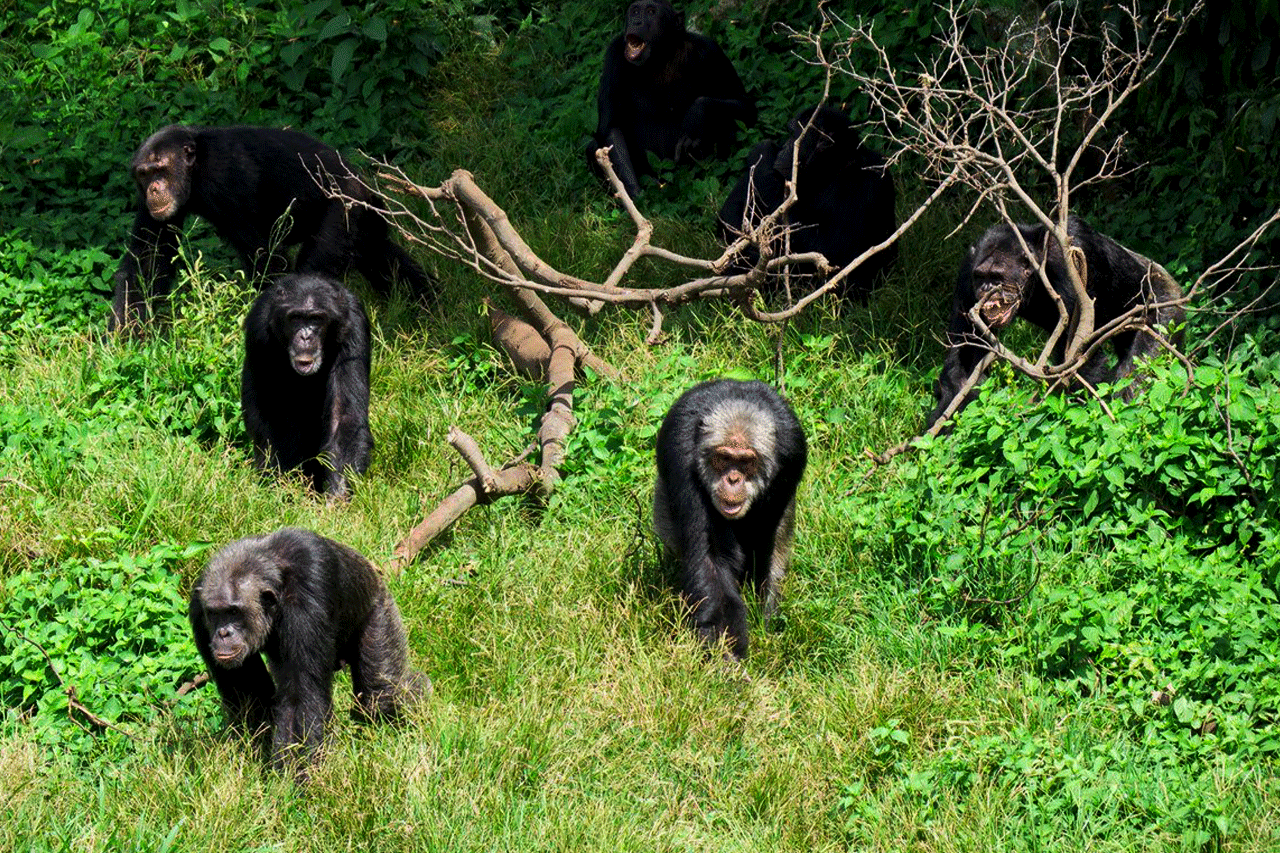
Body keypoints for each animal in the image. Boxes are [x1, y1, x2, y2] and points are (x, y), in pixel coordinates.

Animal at [653, 379, 808, 659]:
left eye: (746, 462)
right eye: (724, 458)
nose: (733, 479)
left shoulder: (791, 458)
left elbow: (765, 542)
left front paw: (766, 617)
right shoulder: (681, 456)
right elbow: (712, 561)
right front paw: (726, 654)